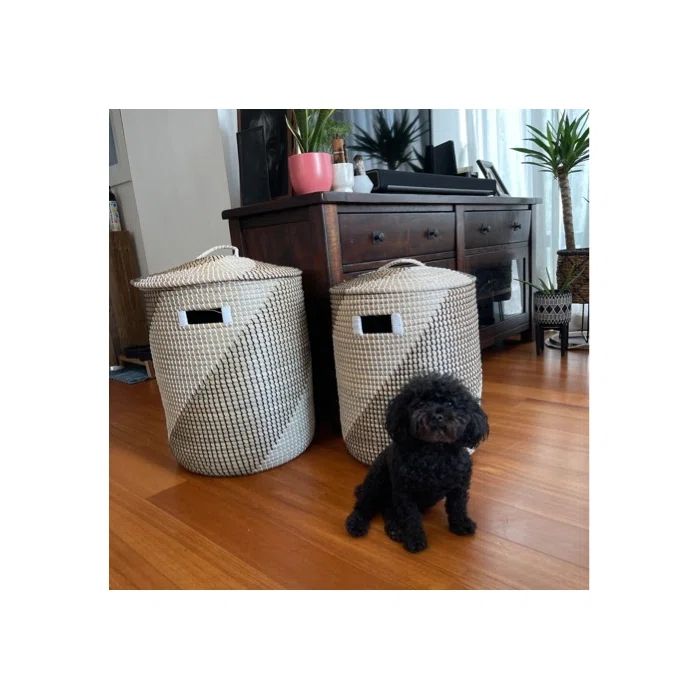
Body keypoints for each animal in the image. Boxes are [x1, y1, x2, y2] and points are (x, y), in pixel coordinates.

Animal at [345, 373, 489, 553]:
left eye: (450, 403)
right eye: (420, 403)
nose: (437, 415)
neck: (434, 452)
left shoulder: (459, 487)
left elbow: (458, 506)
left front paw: (461, 525)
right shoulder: (406, 492)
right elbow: (411, 517)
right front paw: (415, 539)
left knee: (388, 508)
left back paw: (395, 529)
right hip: (376, 481)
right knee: (365, 505)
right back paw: (356, 524)